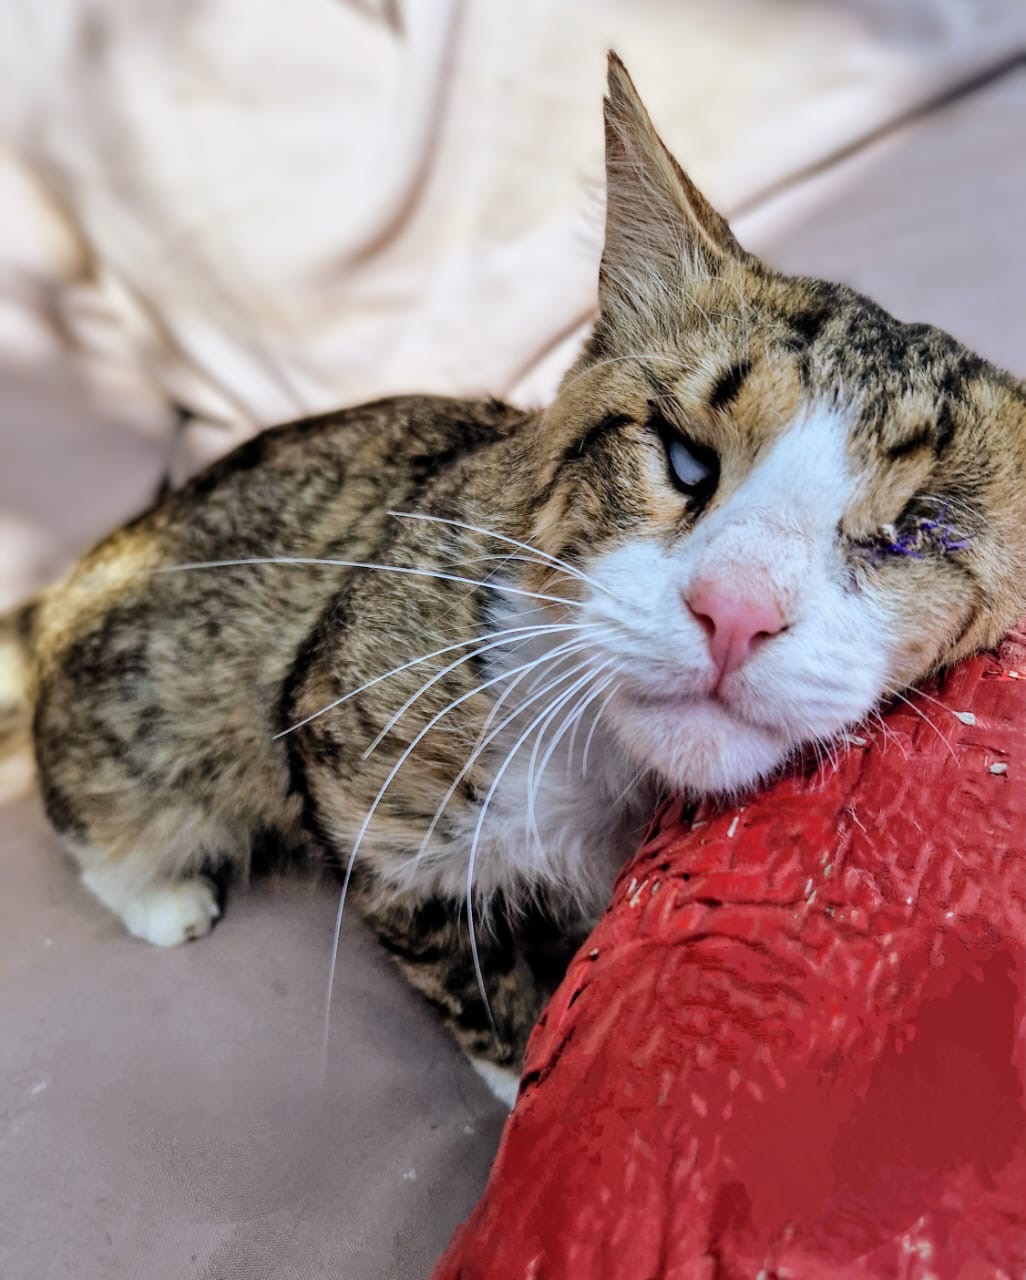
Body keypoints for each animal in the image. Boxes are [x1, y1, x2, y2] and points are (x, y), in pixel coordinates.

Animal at [2, 54, 1025, 1090]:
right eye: (683, 457)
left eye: (915, 533)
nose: (734, 611)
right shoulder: (344, 744)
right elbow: (443, 939)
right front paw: (516, 1060)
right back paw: (155, 892)